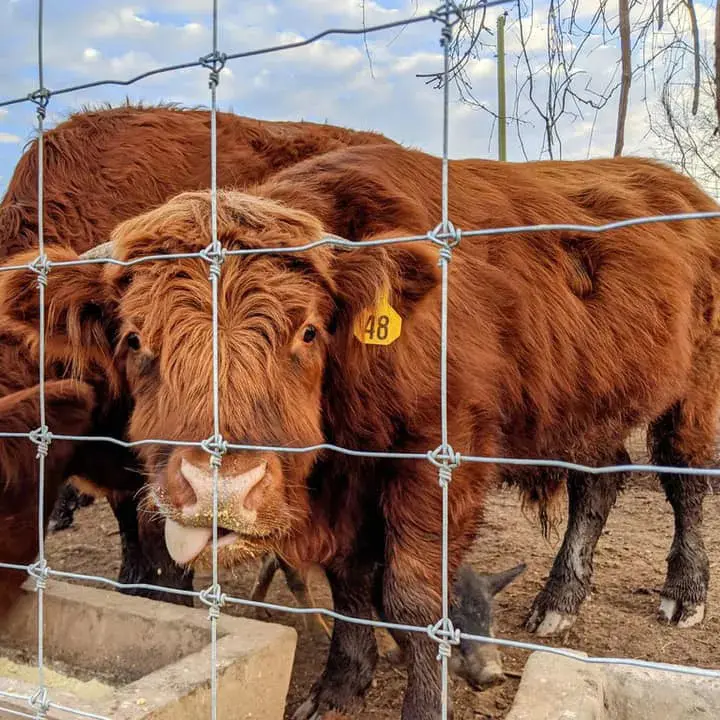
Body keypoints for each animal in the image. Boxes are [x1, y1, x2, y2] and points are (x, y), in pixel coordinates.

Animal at [101, 143, 720, 716]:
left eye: (307, 331)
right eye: (135, 338)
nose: (220, 489)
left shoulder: (442, 456)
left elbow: (414, 596)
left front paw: (423, 703)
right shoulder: (344, 483)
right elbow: (348, 584)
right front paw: (338, 688)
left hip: (692, 391)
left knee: (684, 478)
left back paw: (683, 595)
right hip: (591, 411)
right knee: (599, 484)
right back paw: (558, 602)